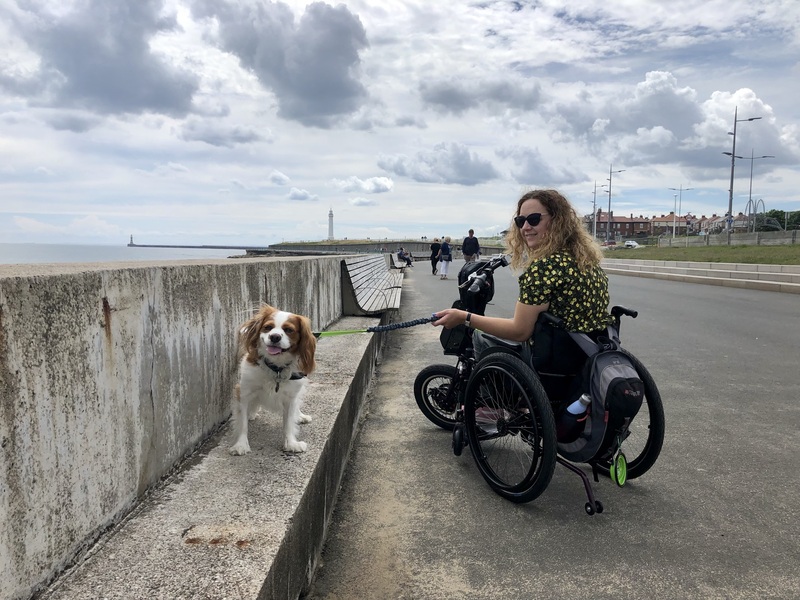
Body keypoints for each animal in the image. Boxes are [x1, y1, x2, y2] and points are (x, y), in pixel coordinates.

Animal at [228, 304, 316, 454]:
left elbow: (288, 423)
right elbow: (242, 422)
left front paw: (290, 443)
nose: (275, 336)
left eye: (289, 330)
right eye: (268, 327)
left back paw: (300, 416)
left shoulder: (290, 398)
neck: (276, 368)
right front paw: (241, 445)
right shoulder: (244, 393)